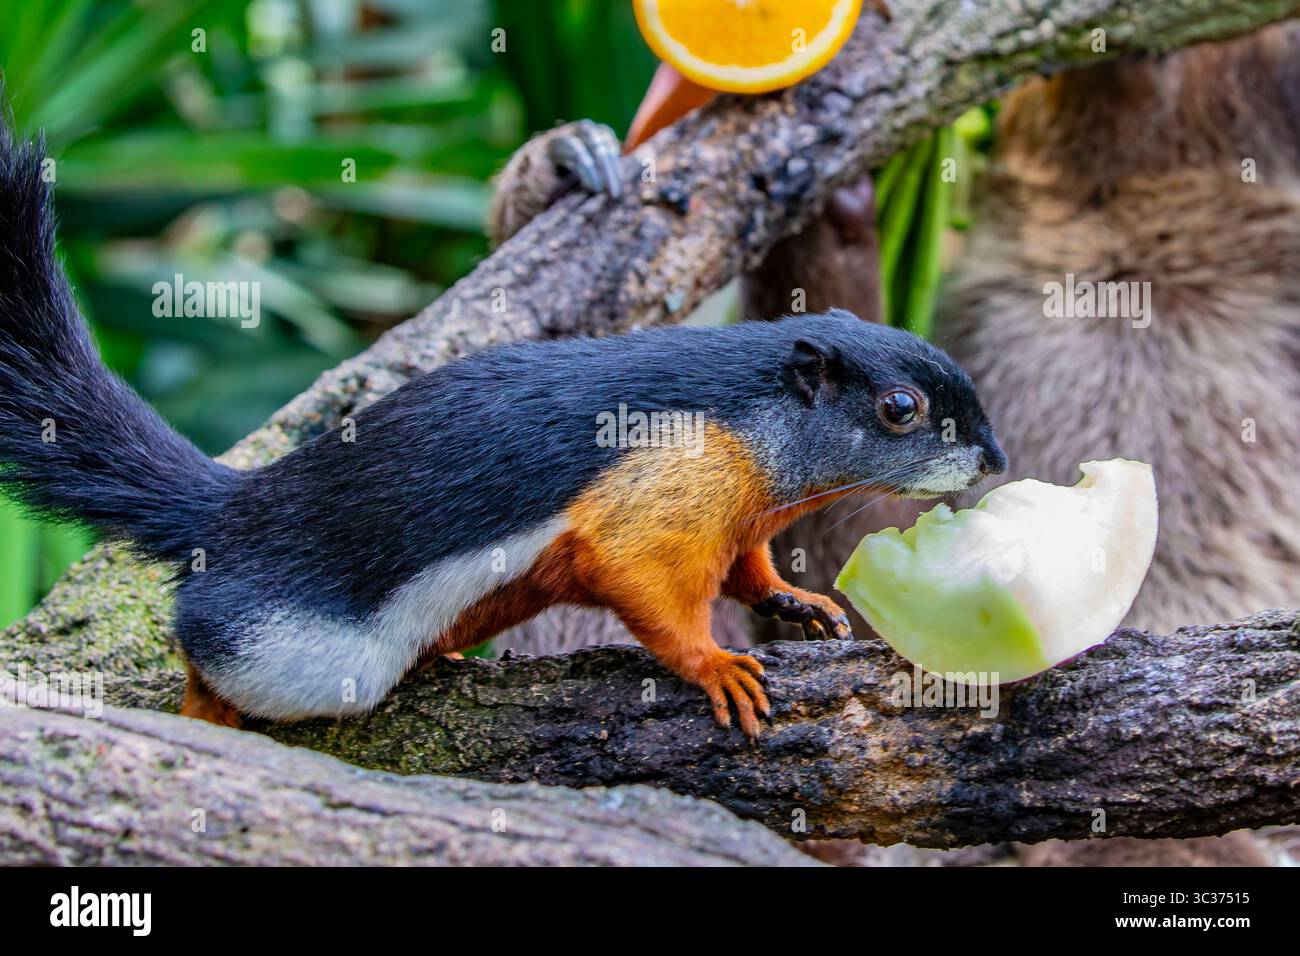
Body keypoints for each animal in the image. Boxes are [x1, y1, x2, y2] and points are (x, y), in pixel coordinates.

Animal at [0, 125, 1005, 737]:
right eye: (900, 410)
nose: (995, 460)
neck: (757, 430)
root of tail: (227, 514)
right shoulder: (662, 493)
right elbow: (651, 588)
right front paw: (719, 666)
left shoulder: (742, 520)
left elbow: (749, 571)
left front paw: (798, 602)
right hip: (304, 654)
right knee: (207, 648)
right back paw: (206, 713)